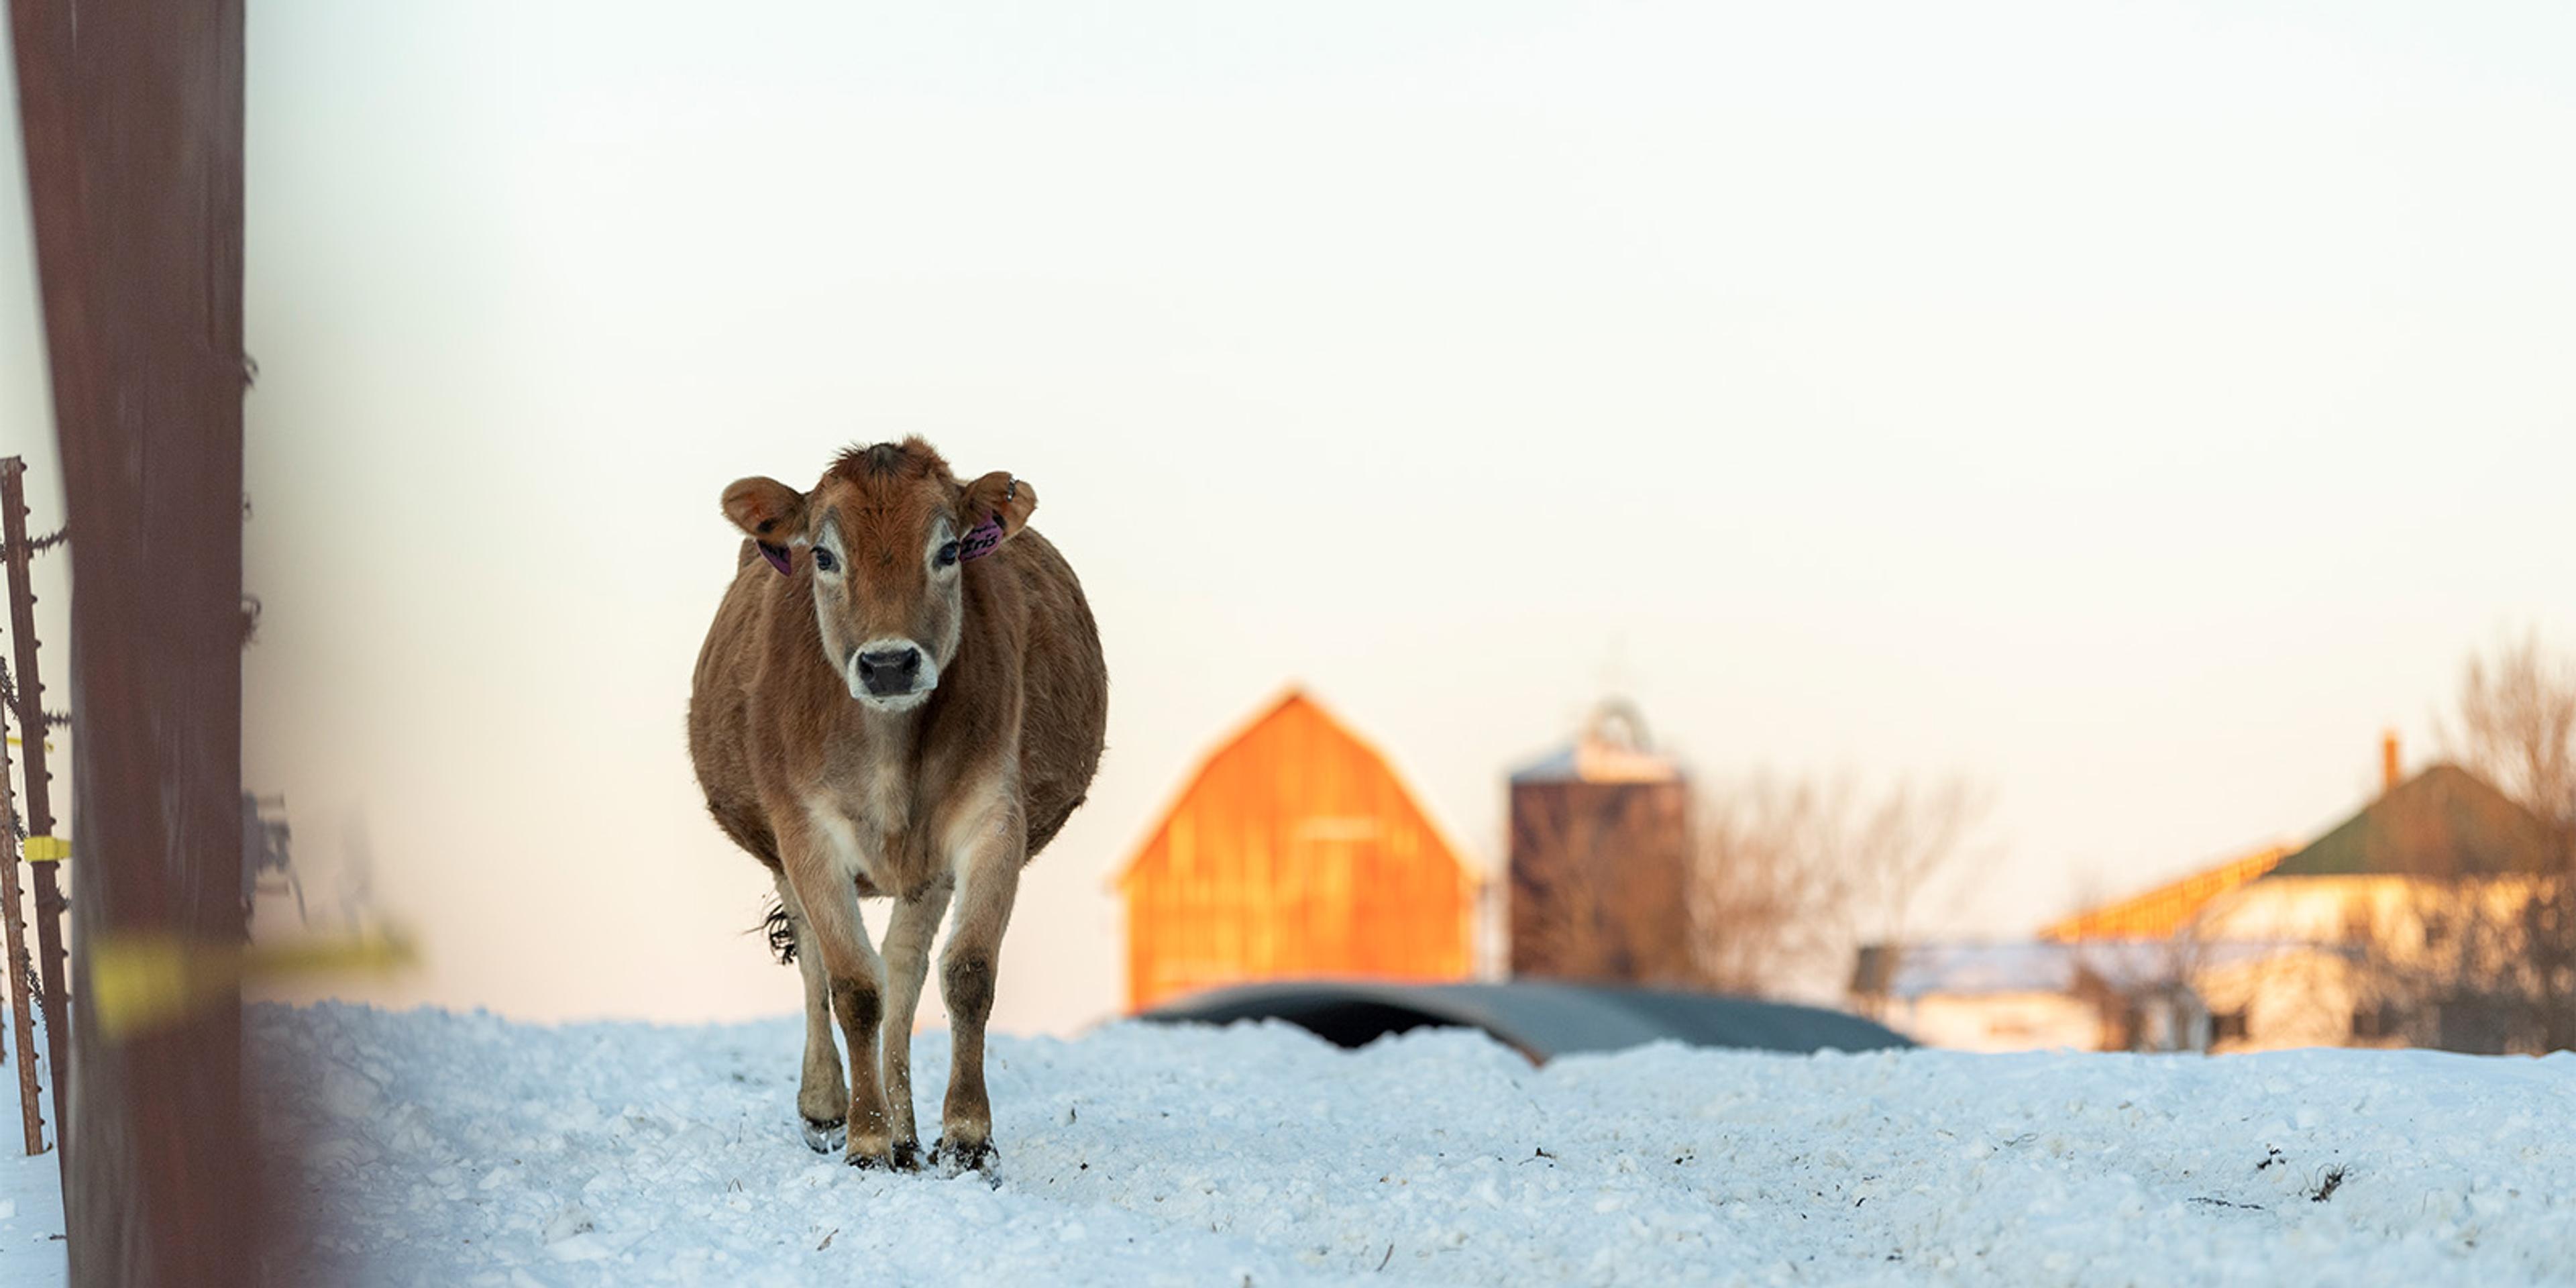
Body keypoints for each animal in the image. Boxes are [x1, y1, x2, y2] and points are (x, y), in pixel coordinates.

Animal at [688, 438, 1107, 1177]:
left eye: (949, 550)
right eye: (824, 556)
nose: (888, 664)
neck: (888, 752)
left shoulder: (993, 823)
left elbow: (966, 974)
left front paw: (966, 1138)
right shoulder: (805, 834)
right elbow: (853, 988)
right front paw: (865, 1140)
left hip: (926, 869)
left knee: (905, 969)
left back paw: (909, 1134)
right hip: (781, 853)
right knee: (819, 962)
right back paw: (828, 1108)